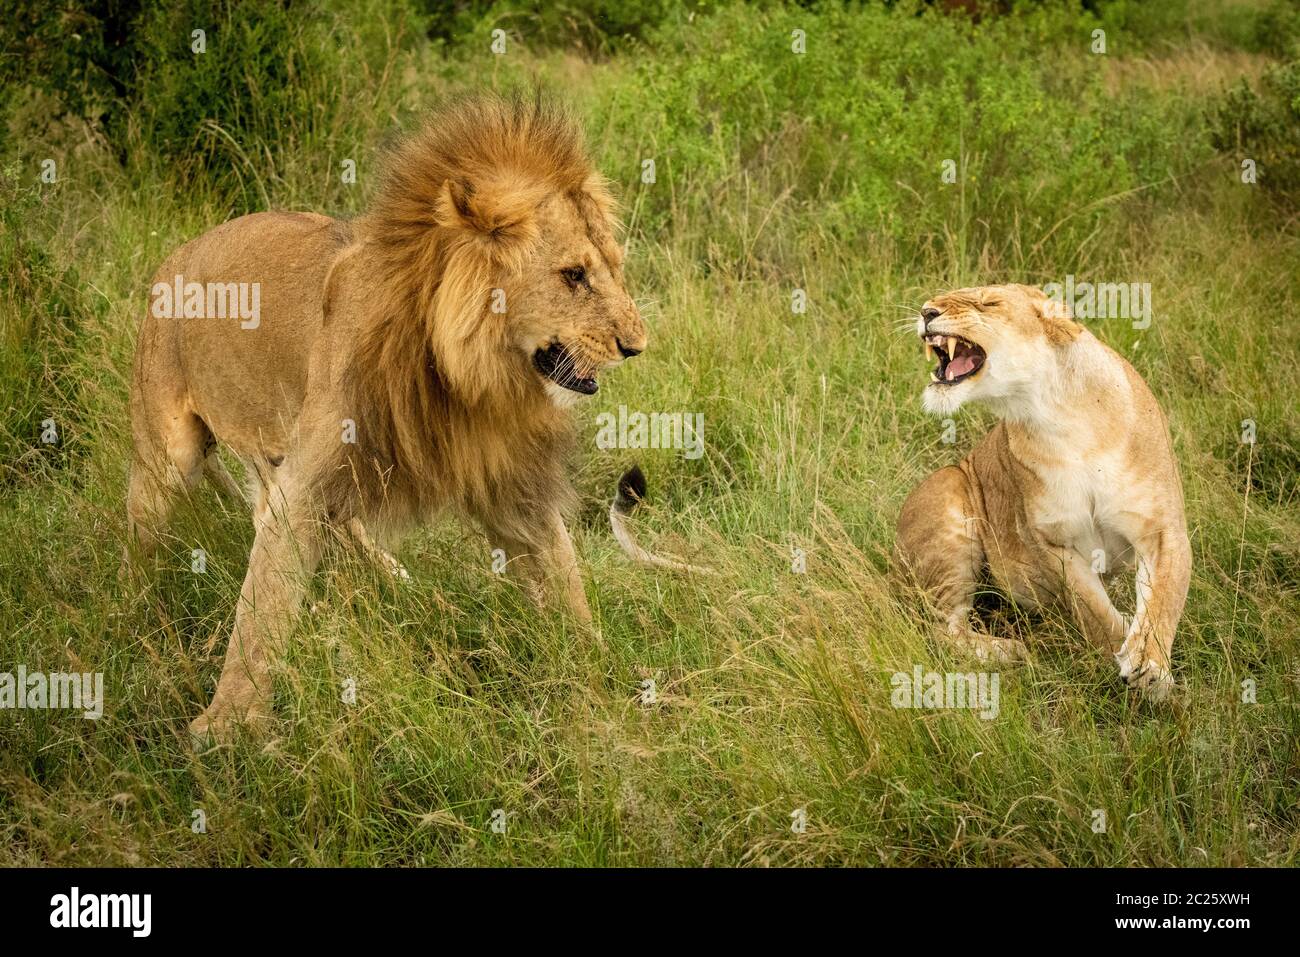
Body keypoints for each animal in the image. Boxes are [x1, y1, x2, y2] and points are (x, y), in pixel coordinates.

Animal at [125, 95, 647, 744]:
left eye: (613, 268)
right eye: (573, 275)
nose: (637, 346)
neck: (465, 375)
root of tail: (172, 256)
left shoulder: (511, 484)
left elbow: (562, 574)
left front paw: (605, 674)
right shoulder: (309, 479)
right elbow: (262, 607)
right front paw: (226, 728)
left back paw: (399, 589)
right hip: (170, 452)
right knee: (144, 540)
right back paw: (137, 617)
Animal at [895, 284, 1191, 700]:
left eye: (987, 302)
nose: (926, 312)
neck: (1056, 411)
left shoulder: (1162, 529)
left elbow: (1163, 599)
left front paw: (1148, 667)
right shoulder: (1052, 542)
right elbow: (1095, 613)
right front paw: (1122, 654)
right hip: (949, 489)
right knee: (940, 630)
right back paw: (1010, 651)